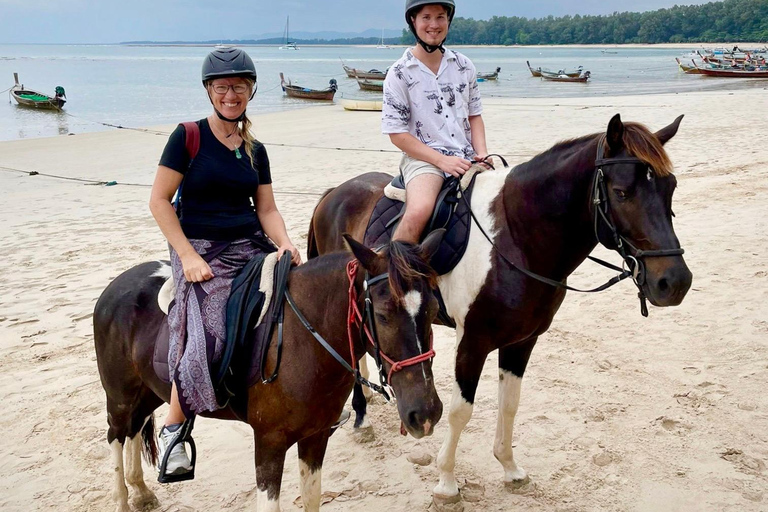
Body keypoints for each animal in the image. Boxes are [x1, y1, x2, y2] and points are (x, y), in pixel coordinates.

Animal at [94, 233, 444, 512]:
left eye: (432, 310)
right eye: (383, 315)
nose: (425, 413)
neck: (304, 341)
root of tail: (116, 286)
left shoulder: (316, 437)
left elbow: (312, 498)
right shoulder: (268, 445)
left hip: (147, 392)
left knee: (135, 429)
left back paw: (141, 492)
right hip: (120, 398)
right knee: (117, 435)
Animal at [308, 116, 696, 504]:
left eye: (671, 188)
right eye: (621, 192)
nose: (675, 282)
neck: (515, 240)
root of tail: (335, 193)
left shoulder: (522, 341)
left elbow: (509, 404)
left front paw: (510, 469)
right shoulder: (472, 342)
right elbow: (460, 411)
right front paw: (446, 482)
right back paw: (361, 418)